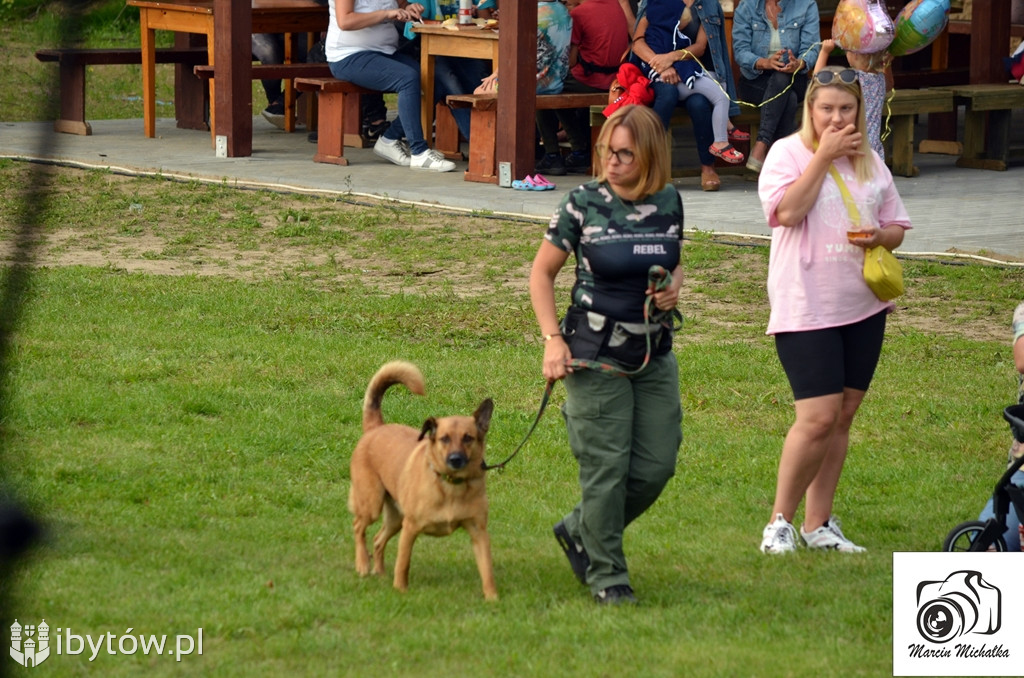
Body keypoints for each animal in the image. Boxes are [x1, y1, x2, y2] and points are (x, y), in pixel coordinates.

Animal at [350, 364, 497, 602]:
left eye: (468, 438)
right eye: (444, 438)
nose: (455, 459)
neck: (451, 486)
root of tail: (375, 428)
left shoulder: (478, 532)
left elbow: (487, 569)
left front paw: (492, 598)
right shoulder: (410, 528)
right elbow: (403, 564)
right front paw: (401, 590)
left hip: (395, 518)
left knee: (378, 539)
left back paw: (380, 572)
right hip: (372, 505)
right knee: (358, 527)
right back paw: (363, 564)